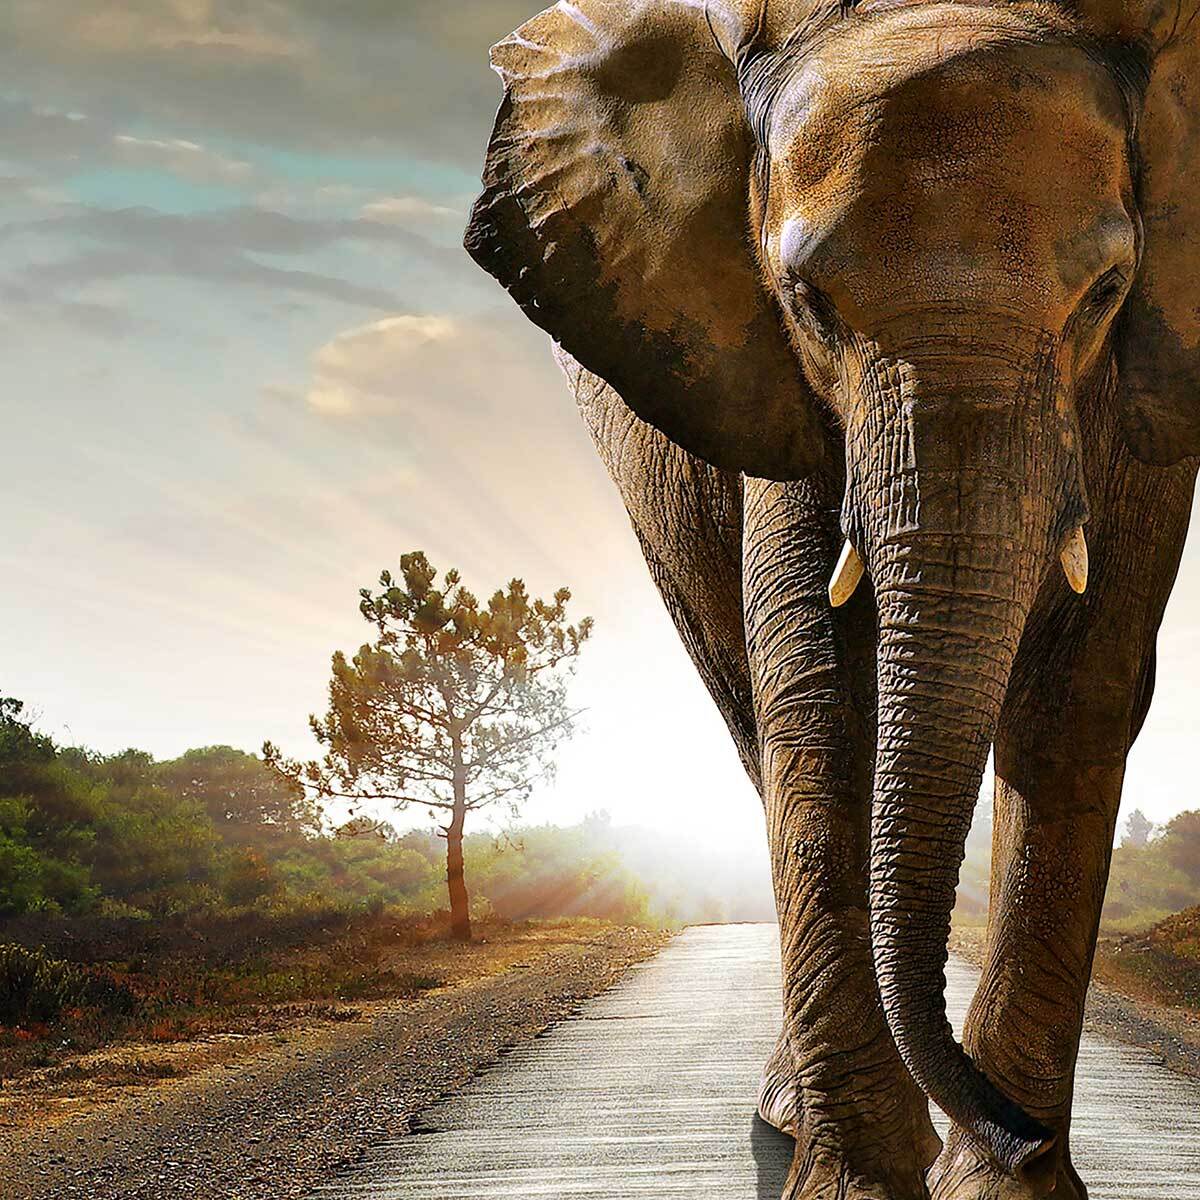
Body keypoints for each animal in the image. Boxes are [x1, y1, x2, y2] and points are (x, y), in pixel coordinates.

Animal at [463, 2, 1200, 1197]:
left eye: (1105, 293)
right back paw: (789, 1110)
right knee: (749, 710)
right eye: (807, 301)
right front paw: (865, 1181)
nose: (1013, 1127)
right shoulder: (771, 373)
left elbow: (1078, 697)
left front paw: (1007, 1185)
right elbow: (819, 694)